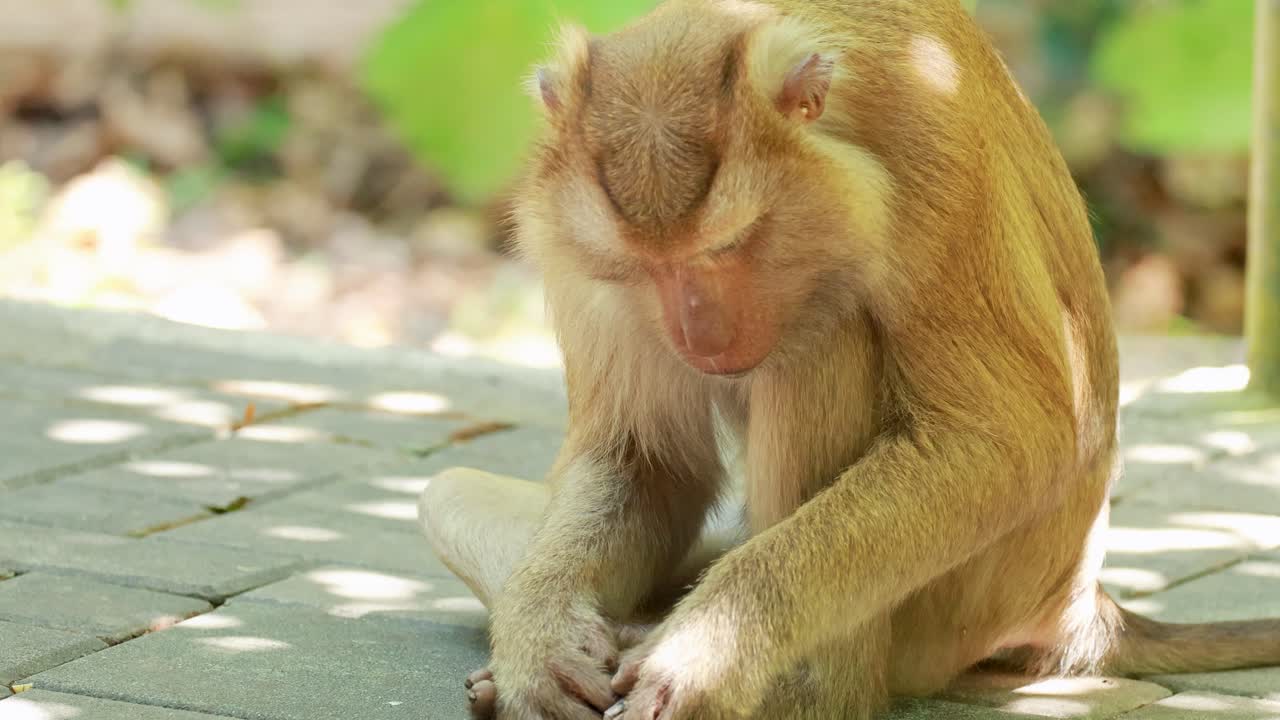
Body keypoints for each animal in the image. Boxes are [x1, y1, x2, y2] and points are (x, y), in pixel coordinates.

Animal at [417, 1, 1280, 718]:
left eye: (729, 245)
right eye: (642, 267)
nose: (700, 337)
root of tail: (1078, 606)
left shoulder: (932, 155)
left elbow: (1009, 440)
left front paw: (708, 650)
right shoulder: (573, 248)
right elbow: (648, 467)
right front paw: (539, 641)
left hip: (949, 618)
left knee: (821, 341)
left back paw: (805, 692)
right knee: (445, 493)